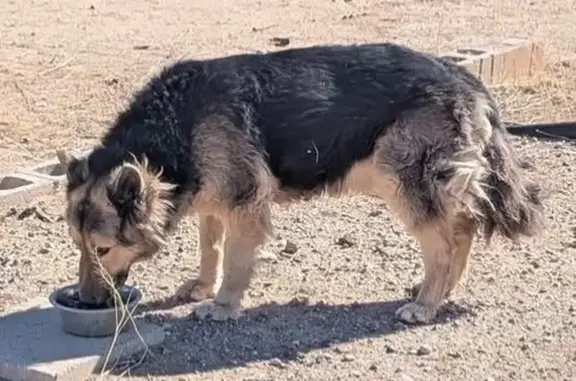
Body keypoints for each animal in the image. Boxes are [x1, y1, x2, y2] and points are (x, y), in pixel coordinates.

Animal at [56, 42, 544, 324]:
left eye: (103, 249)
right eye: (79, 247)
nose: (86, 301)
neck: (175, 126)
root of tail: (465, 77)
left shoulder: (245, 203)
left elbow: (236, 261)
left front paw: (222, 305)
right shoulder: (214, 199)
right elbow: (210, 249)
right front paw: (202, 285)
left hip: (402, 181)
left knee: (445, 241)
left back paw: (426, 304)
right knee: (463, 228)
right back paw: (439, 292)